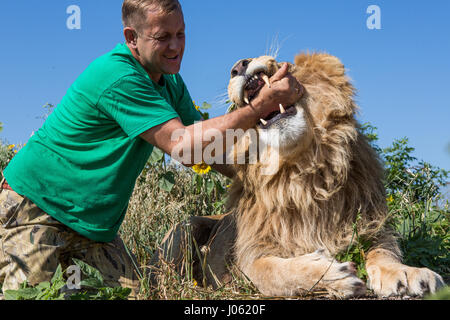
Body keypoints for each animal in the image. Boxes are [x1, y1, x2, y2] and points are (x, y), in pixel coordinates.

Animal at [150, 52, 442, 298]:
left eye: (285, 64)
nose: (238, 66)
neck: (301, 173)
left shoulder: (372, 227)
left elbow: (384, 253)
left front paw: (410, 275)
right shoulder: (249, 259)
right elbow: (276, 271)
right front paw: (334, 275)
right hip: (183, 228)